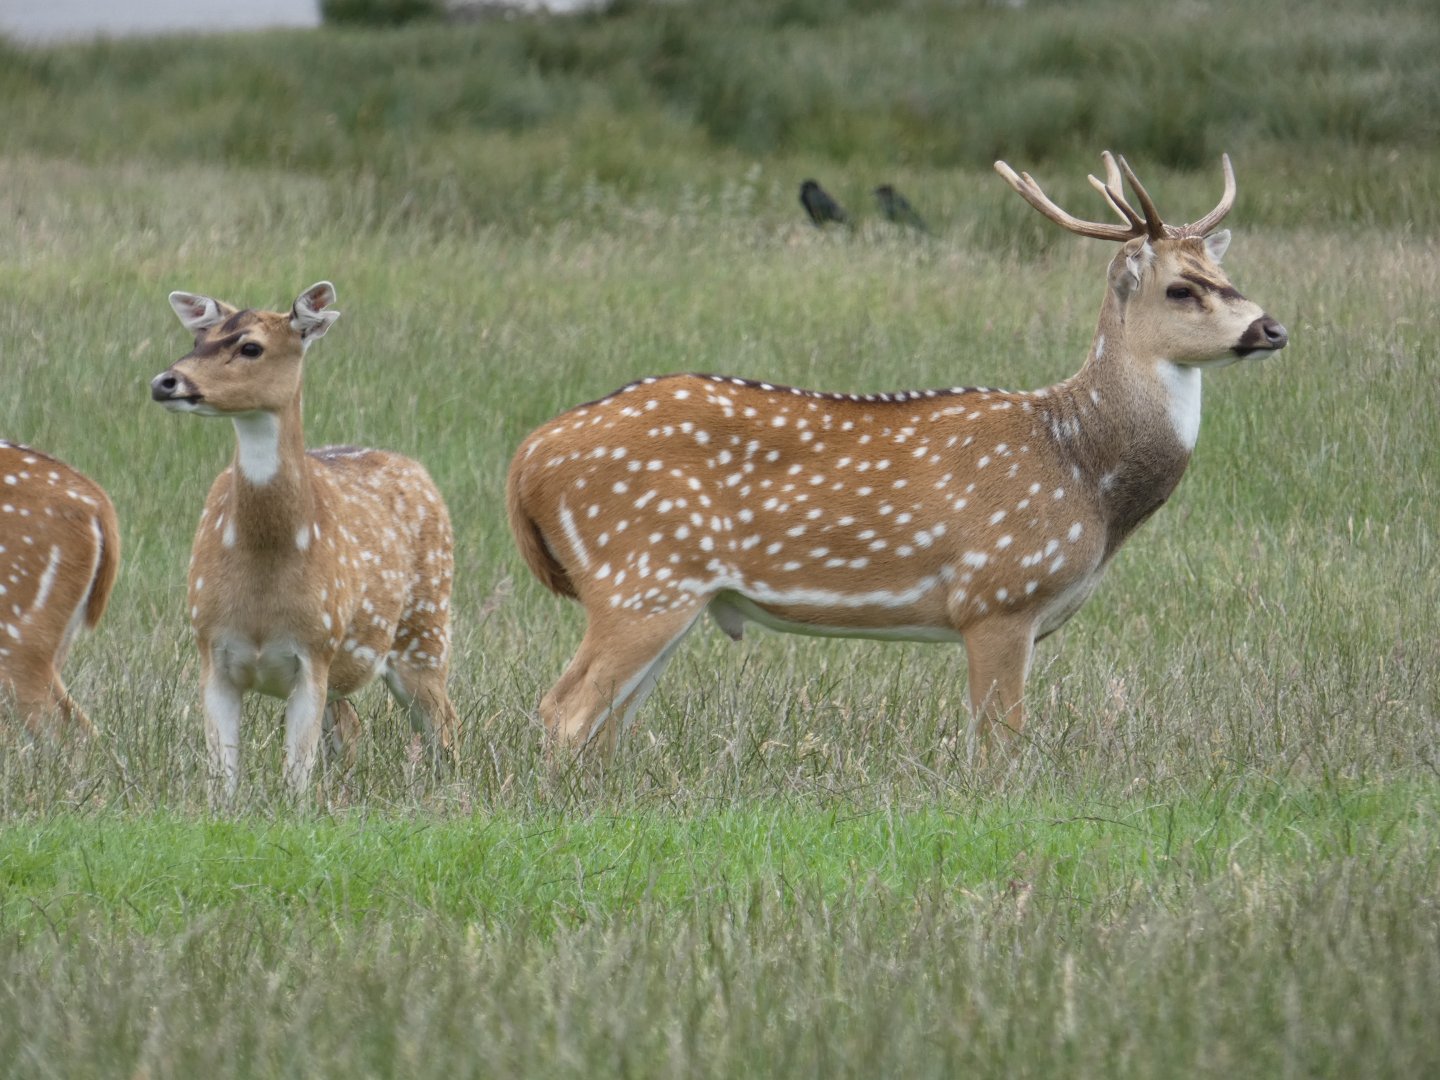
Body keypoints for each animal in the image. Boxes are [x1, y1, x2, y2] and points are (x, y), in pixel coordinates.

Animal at [151, 281, 460, 800]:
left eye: (251, 347)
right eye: (198, 340)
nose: (165, 382)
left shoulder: (315, 647)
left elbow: (295, 776)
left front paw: (295, 810)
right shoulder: (210, 646)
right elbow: (224, 779)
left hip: (425, 629)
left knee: (445, 725)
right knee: (353, 727)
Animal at [507, 151, 1289, 762]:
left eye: (1228, 274)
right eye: (1181, 287)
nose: (1272, 328)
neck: (1083, 473)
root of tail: (526, 462)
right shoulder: (998, 594)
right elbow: (998, 748)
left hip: (667, 589)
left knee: (605, 722)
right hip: (640, 573)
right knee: (565, 710)